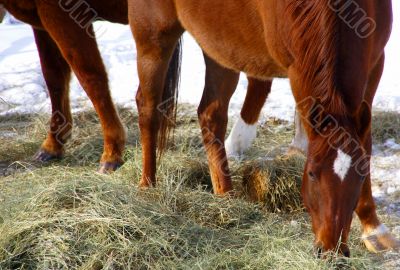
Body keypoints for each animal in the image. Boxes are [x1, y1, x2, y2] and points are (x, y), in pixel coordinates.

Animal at [130, 0, 398, 255]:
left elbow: (365, 145)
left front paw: (373, 228)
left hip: (218, 46)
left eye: (359, 175)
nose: (330, 249)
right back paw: (147, 186)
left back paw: (226, 195)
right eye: (311, 173)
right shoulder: (297, 72)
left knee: (211, 115)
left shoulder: (374, 65)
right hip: (154, 38)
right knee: (148, 108)